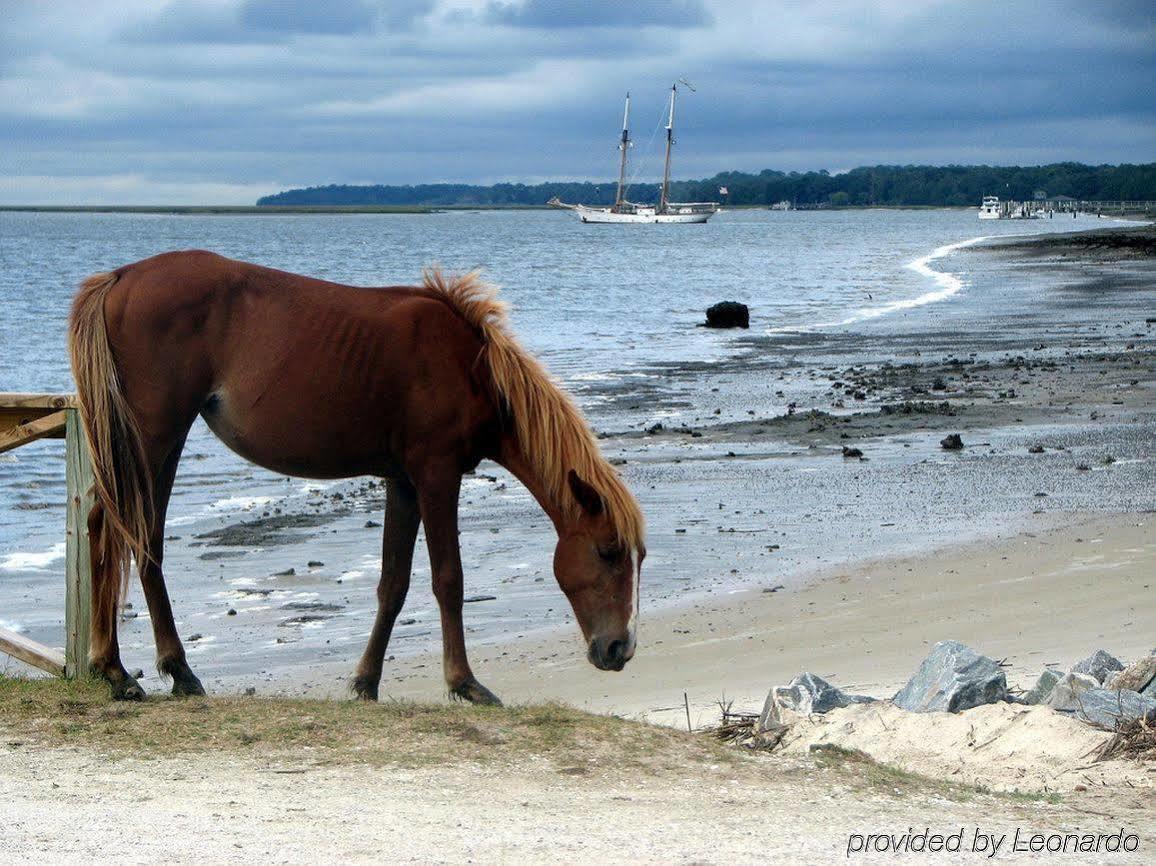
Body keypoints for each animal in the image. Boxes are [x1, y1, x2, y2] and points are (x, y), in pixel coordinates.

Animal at [67, 249, 647, 702]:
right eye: (608, 552)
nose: (620, 648)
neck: (469, 366)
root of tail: (121, 276)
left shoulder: (404, 483)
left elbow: (393, 584)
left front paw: (366, 682)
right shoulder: (436, 476)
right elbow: (449, 579)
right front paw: (464, 682)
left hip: (157, 446)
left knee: (136, 536)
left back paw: (159, 671)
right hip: (150, 438)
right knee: (112, 527)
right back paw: (121, 672)